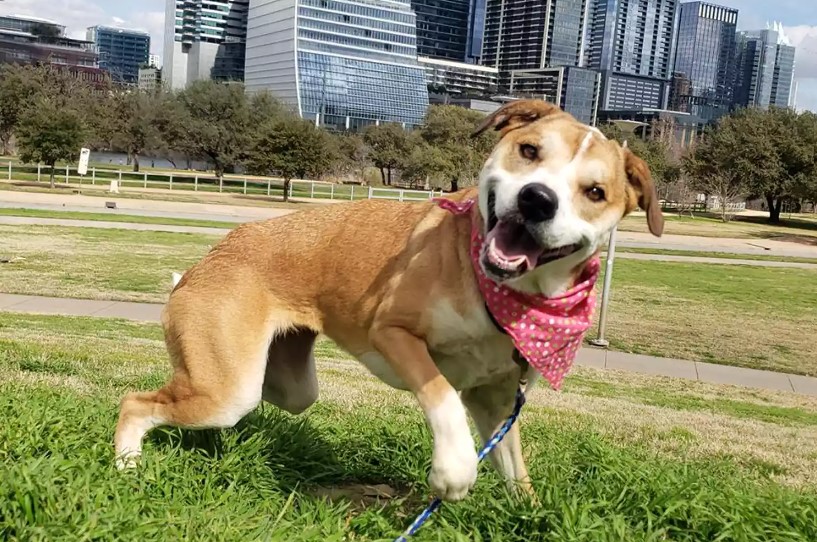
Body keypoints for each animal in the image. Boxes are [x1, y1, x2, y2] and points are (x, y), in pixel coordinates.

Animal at [113, 100, 664, 504]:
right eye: (529, 151)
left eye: (595, 192)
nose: (536, 199)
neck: (503, 294)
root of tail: (207, 259)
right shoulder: (394, 333)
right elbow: (443, 399)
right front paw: (451, 473)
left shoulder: (496, 398)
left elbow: (514, 467)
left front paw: (527, 512)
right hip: (225, 392)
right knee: (136, 402)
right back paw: (126, 464)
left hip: (280, 383)